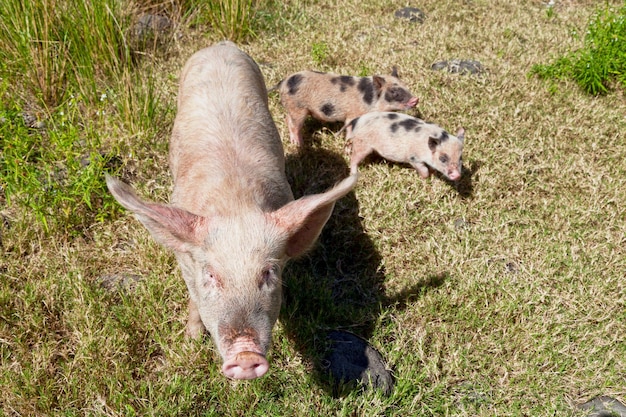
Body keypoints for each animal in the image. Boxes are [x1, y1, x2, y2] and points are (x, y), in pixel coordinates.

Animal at [107, 42, 356, 380]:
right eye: (212, 274)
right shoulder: (186, 261)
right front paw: (191, 340)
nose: (246, 355)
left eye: (268, 273)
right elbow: (194, 300)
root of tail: (220, 45)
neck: (234, 201)